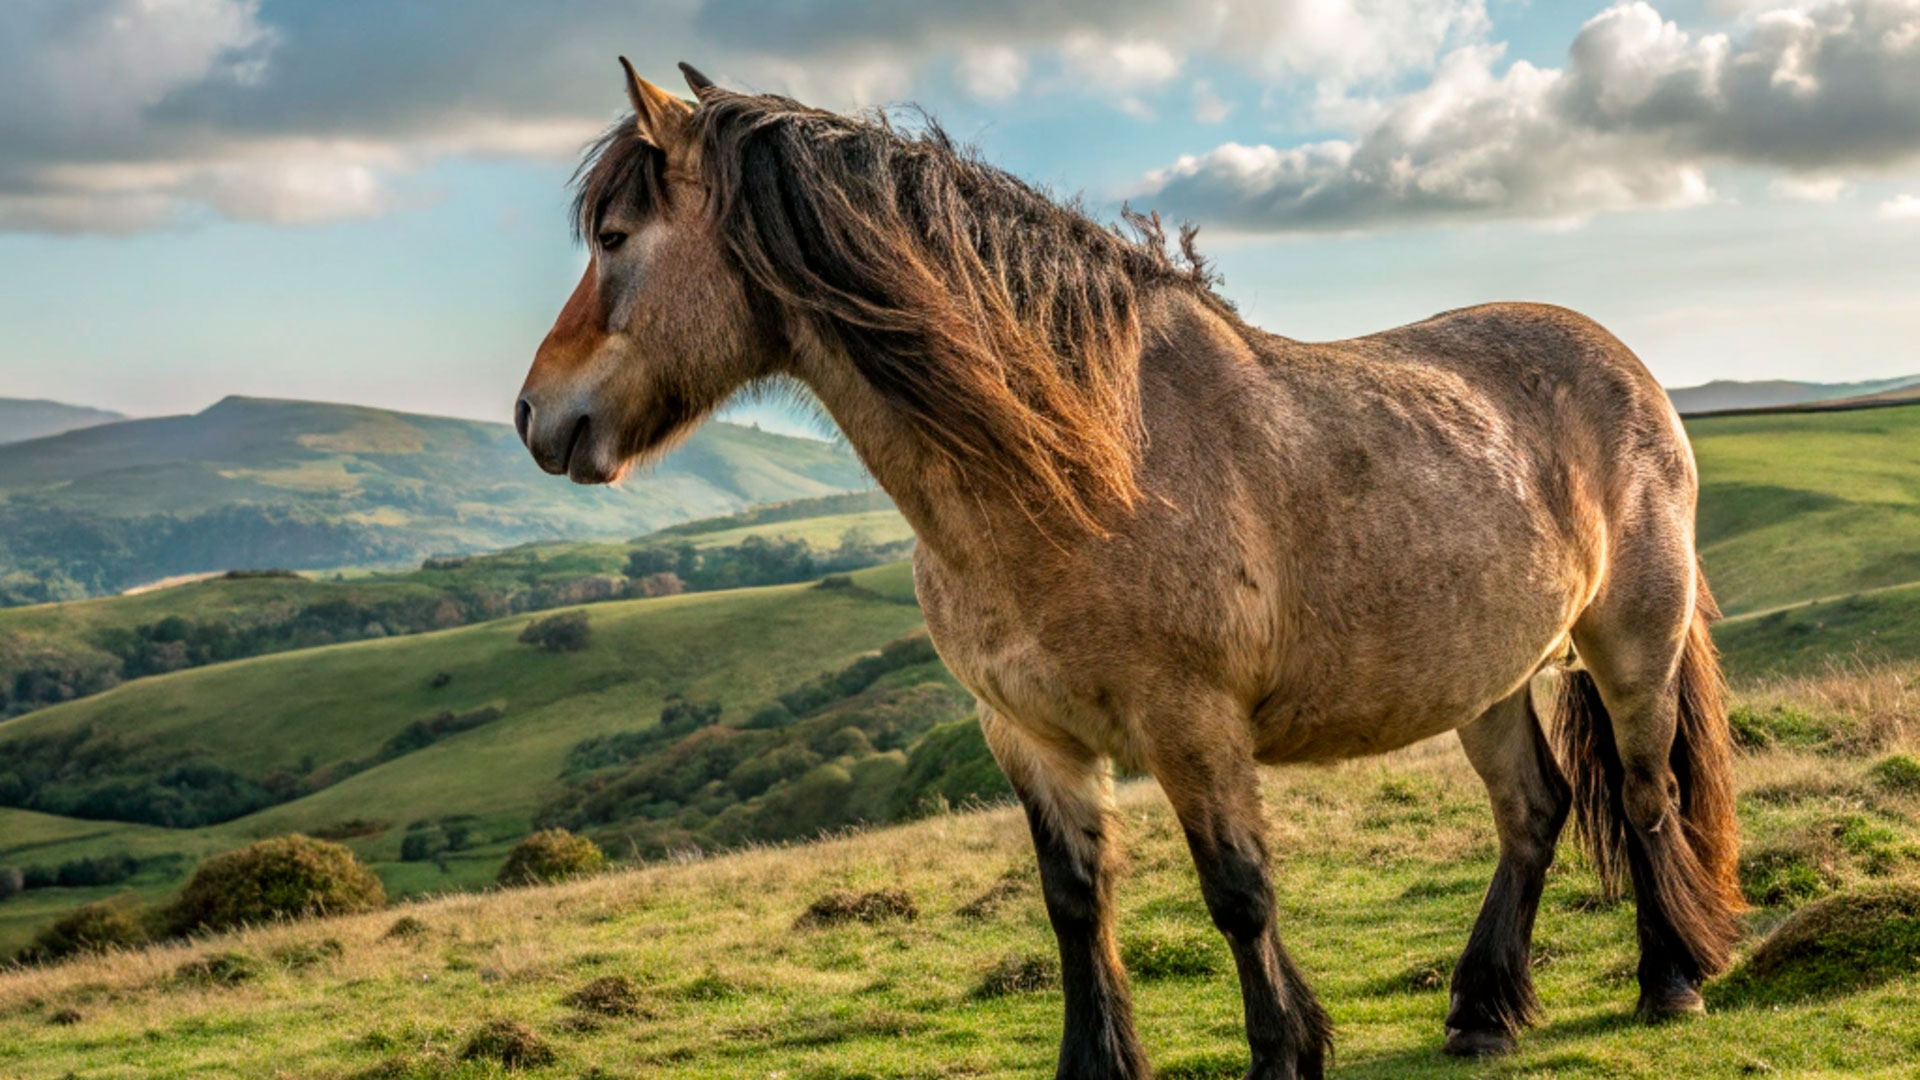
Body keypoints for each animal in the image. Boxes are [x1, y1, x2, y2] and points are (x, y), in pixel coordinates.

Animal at [518, 61, 1751, 1076]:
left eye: (614, 238)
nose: (537, 417)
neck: (1077, 466)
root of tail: (1627, 367)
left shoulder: (1190, 724)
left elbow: (1238, 895)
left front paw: (1285, 1053)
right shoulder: (1027, 733)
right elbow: (1075, 901)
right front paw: (1098, 1063)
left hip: (1630, 647)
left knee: (1644, 793)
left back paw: (1669, 981)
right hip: (1480, 675)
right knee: (1534, 812)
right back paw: (1484, 1013)